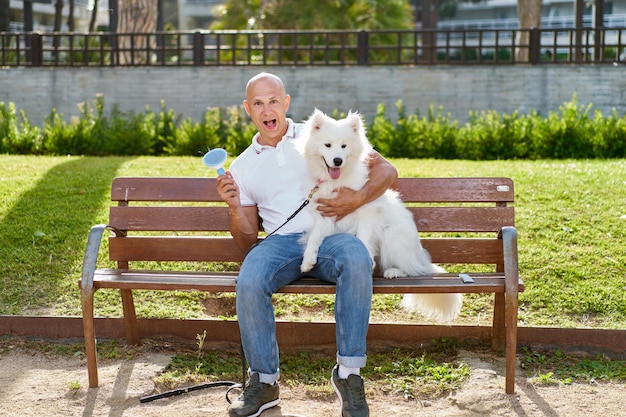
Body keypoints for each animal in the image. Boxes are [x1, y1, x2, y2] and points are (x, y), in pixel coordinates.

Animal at [294, 109, 460, 320]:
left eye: (344, 146)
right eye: (327, 145)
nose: (338, 160)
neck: (336, 182)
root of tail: (420, 257)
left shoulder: (367, 213)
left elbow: (363, 239)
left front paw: (368, 259)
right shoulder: (326, 216)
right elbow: (315, 238)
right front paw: (307, 261)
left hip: (392, 238)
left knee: (414, 270)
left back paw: (393, 272)